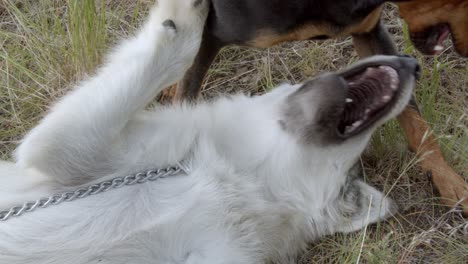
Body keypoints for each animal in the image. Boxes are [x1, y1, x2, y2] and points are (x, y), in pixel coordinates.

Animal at [0, 0, 418, 262]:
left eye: (349, 182)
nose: (415, 63)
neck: (239, 181)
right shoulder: (65, 149)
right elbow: (174, 53)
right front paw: (183, 14)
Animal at [164, 0, 468, 216]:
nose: (465, 54)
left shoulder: (369, 31)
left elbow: (414, 120)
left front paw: (447, 180)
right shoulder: (210, 33)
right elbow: (187, 92)